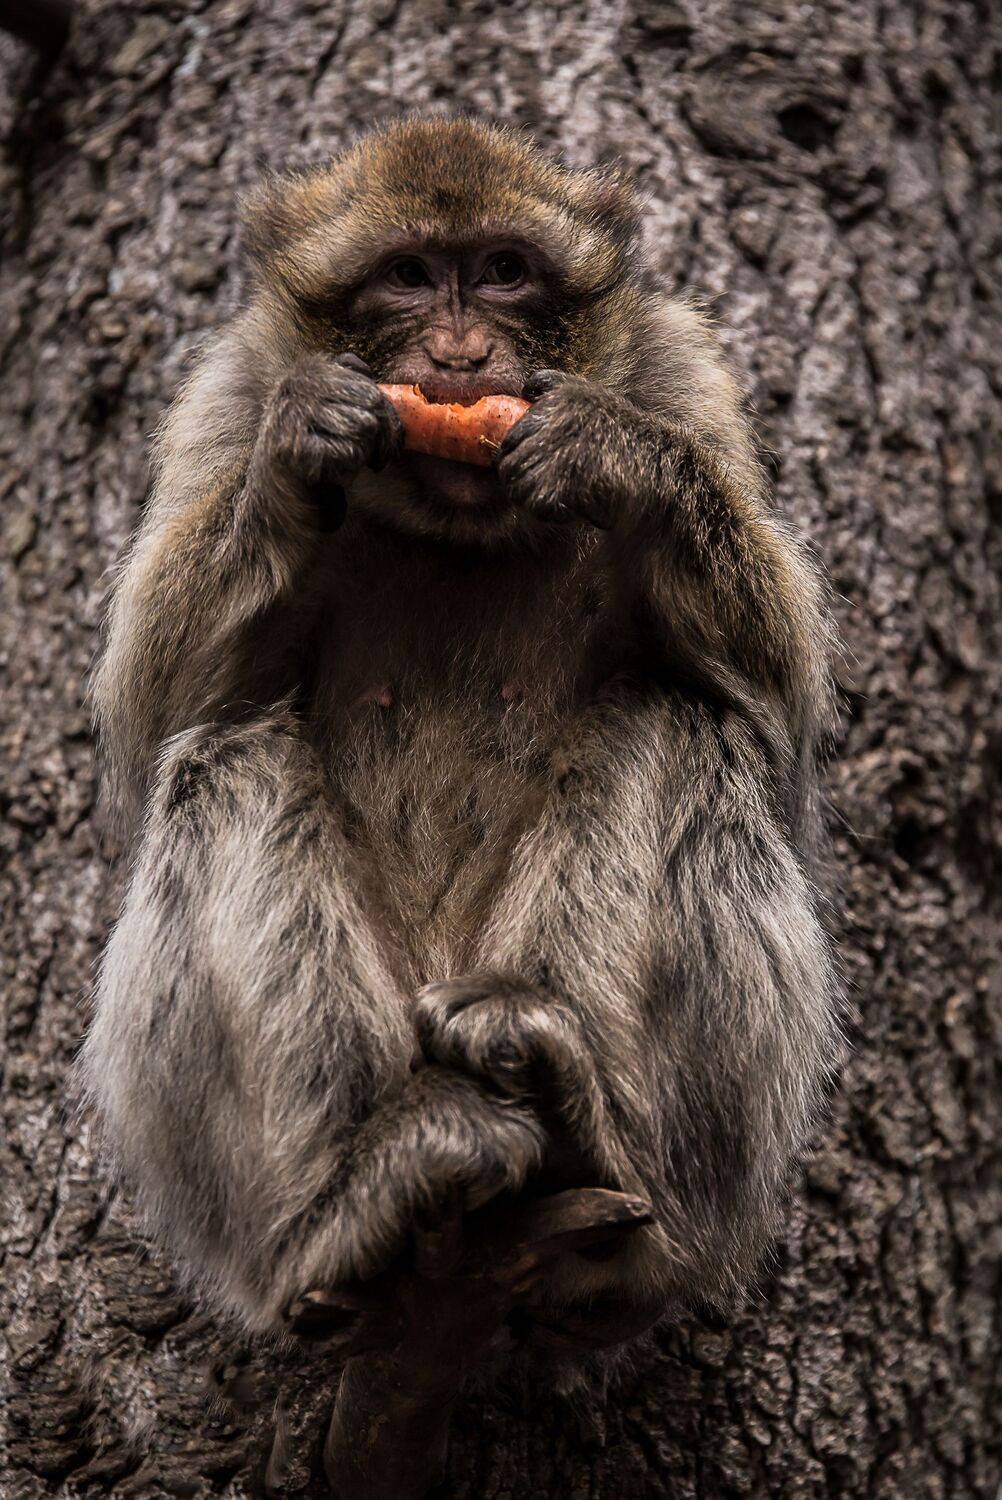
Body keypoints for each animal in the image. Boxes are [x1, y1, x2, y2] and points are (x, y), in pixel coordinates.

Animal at [80, 116, 841, 1370]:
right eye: (406, 276)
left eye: (501, 271)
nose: (461, 349)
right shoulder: (224, 397)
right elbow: (157, 713)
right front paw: (295, 460)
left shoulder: (683, 377)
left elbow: (774, 702)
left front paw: (616, 457)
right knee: (222, 758)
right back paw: (359, 1202)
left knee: (684, 727)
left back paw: (580, 1132)